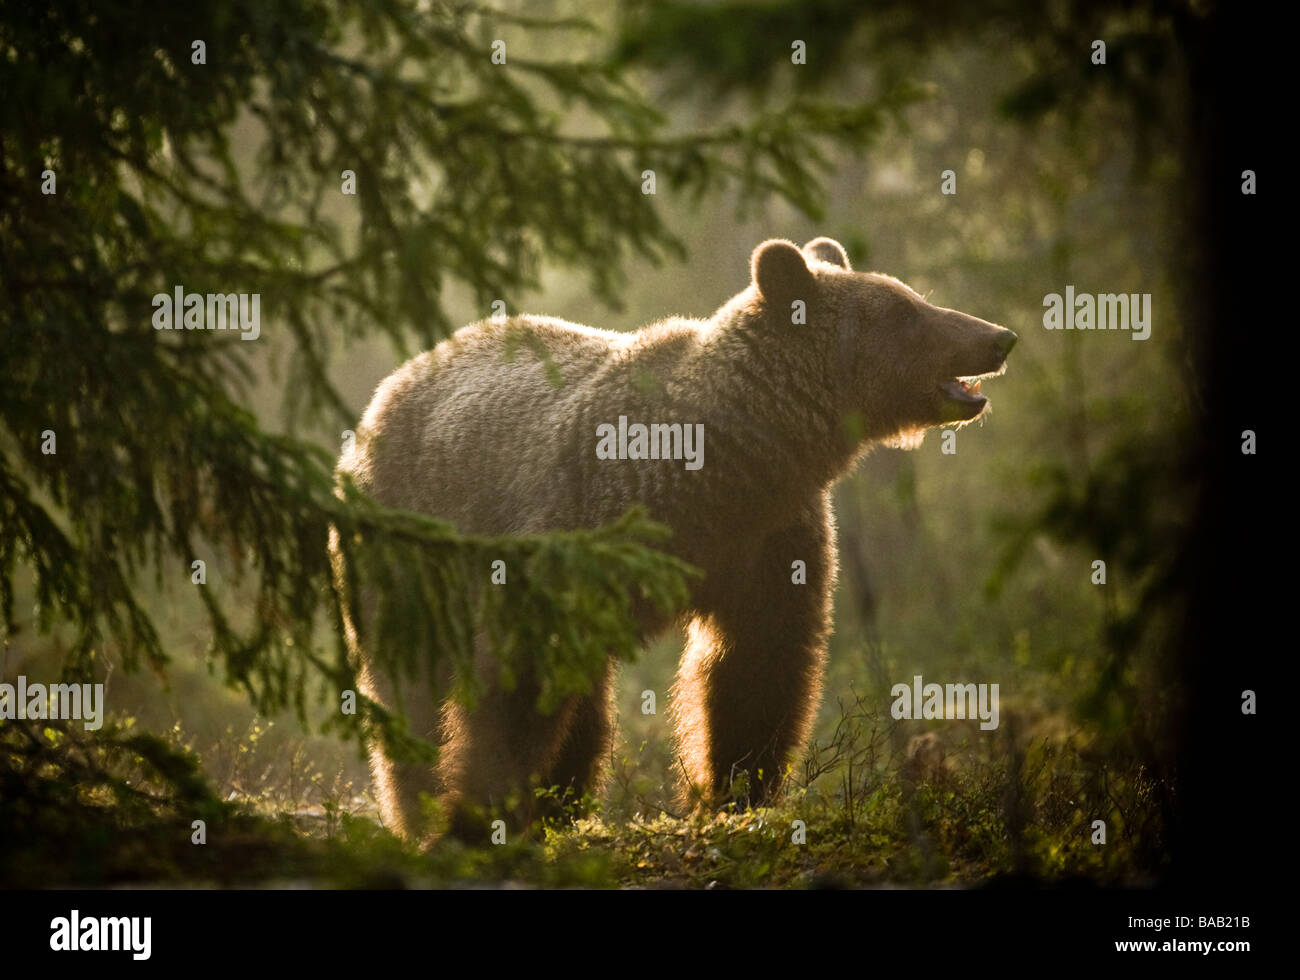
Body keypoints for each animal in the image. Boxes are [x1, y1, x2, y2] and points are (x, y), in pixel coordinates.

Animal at [332, 236, 1016, 842]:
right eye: (905, 312)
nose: (998, 337)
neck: (726, 471)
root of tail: (391, 385)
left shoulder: (770, 538)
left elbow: (757, 663)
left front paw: (734, 793)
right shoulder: (581, 522)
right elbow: (517, 679)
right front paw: (475, 815)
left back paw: (563, 803)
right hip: (406, 544)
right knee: (410, 682)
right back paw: (421, 805)